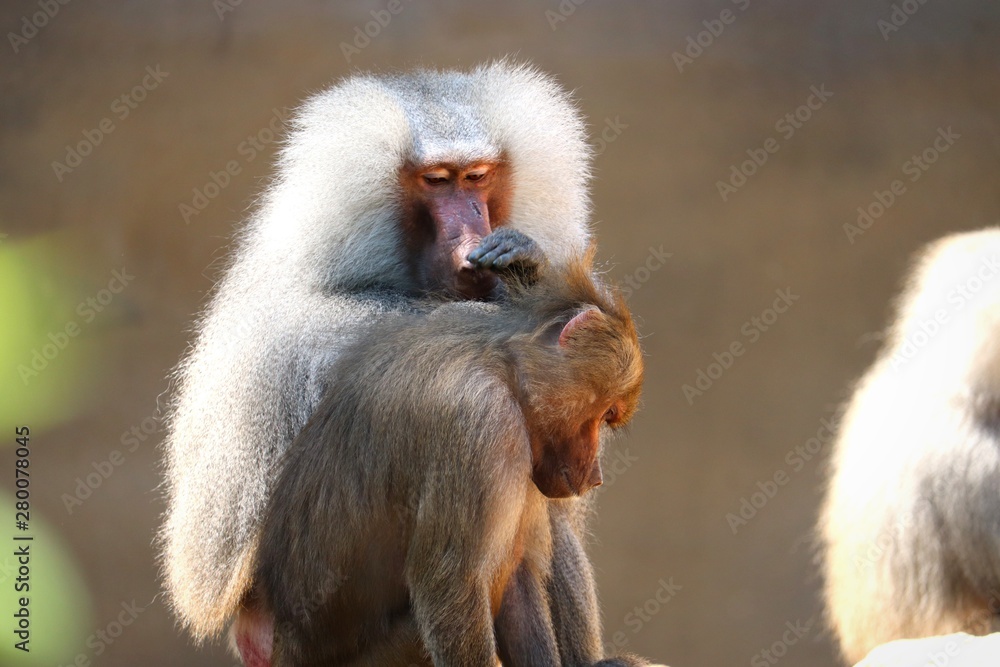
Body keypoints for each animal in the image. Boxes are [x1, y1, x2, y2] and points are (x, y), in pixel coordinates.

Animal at [254, 251, 646, 667]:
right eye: (606, 414)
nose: (596, 476)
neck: (504, 363)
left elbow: (514, 573)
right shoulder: (482, 423)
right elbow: (450, 583)